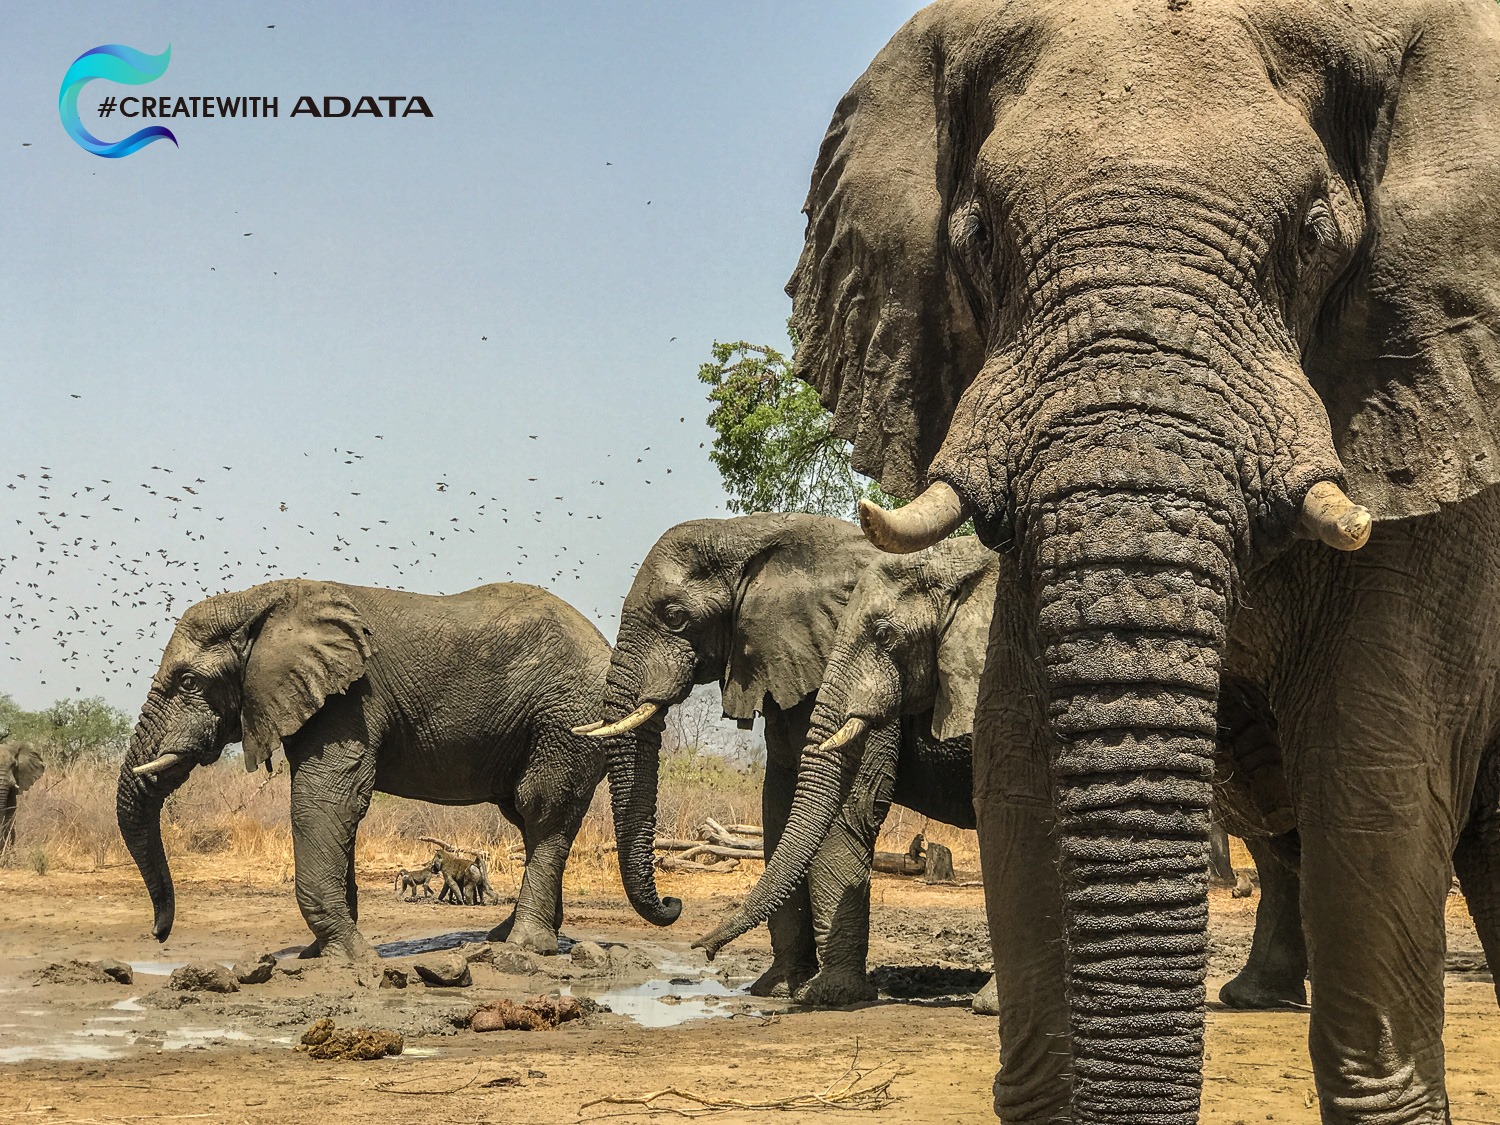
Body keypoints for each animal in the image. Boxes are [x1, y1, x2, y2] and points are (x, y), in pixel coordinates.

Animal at [115, 582, 621, 960]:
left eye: (189, 682)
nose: (159, 935)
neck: (266, 602)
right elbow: (334, 811)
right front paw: (318, 955)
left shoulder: (350, 701)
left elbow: (322, 804)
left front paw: (352, 957)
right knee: (528, 819)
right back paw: (506, 936)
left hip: (565, 718)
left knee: (544, 809)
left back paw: (525, 946)